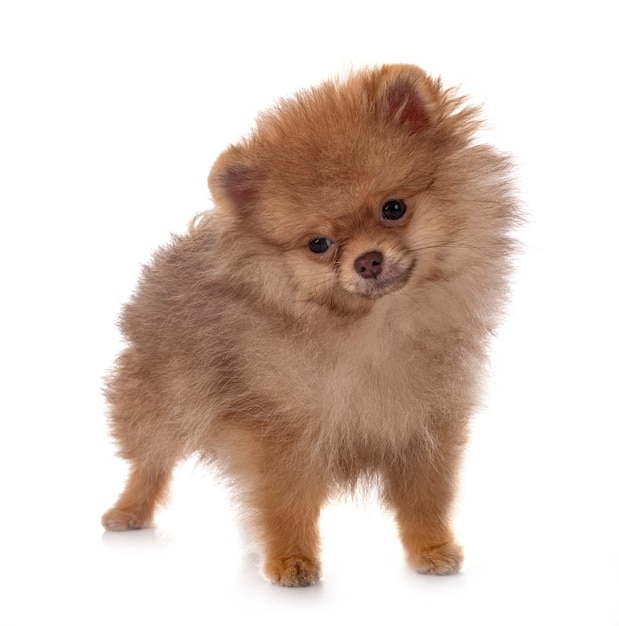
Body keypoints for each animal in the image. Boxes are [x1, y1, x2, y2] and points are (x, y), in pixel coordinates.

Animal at [101, 63, 520, 584]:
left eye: (394, 208)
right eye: (319, 244)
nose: (368, 261)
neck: (372, 327)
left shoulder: (427, 424)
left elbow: (425, 500)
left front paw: (432, 549)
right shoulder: (280, 434)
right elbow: (285, 504)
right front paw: (291, 559)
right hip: (160, 401)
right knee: (149, 461)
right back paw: (129, 511)